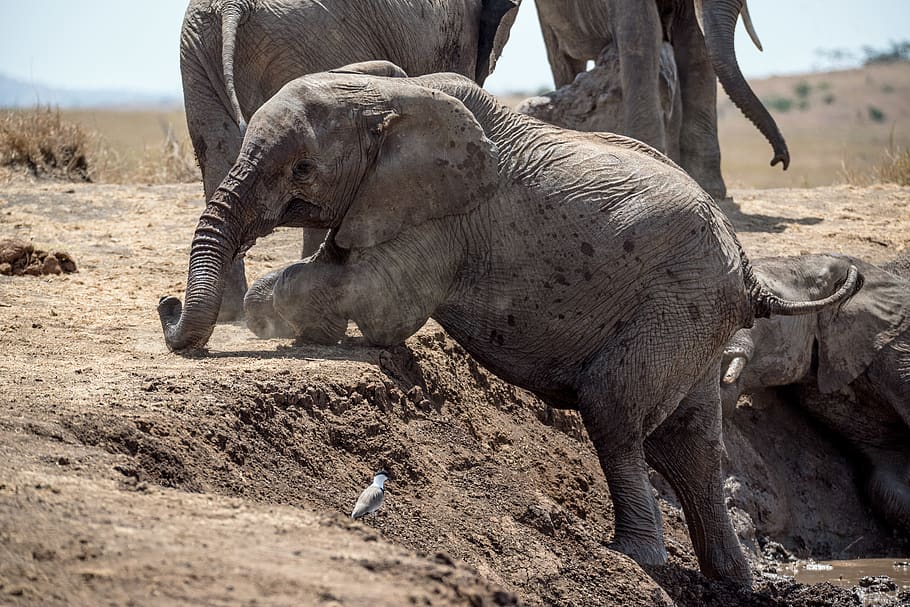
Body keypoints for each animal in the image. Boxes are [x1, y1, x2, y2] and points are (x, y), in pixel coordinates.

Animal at [158, 63, 863, 584]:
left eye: (302, 168)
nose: (168, 312)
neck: (392, 97)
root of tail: (746, 271)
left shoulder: (448, 218)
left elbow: (375, 296)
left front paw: (266, 315)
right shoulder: (386, 199)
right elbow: (339, 270)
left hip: (675, 305)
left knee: (615, 412)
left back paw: (631, 557)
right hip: (691, 321)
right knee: (688, 444)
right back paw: (732, 582)